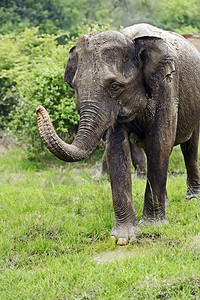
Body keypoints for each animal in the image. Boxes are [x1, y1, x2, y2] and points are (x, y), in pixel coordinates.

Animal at [36, 22, 200, 244]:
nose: (39, 109)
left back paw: (192, 198)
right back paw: (166, 203)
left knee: (189, 147)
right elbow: (116, 148)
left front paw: (151, 227)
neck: (130, 40)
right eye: (75, 88)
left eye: (115, 86)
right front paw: (123, 238)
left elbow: (161, 142)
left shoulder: (167, 85)